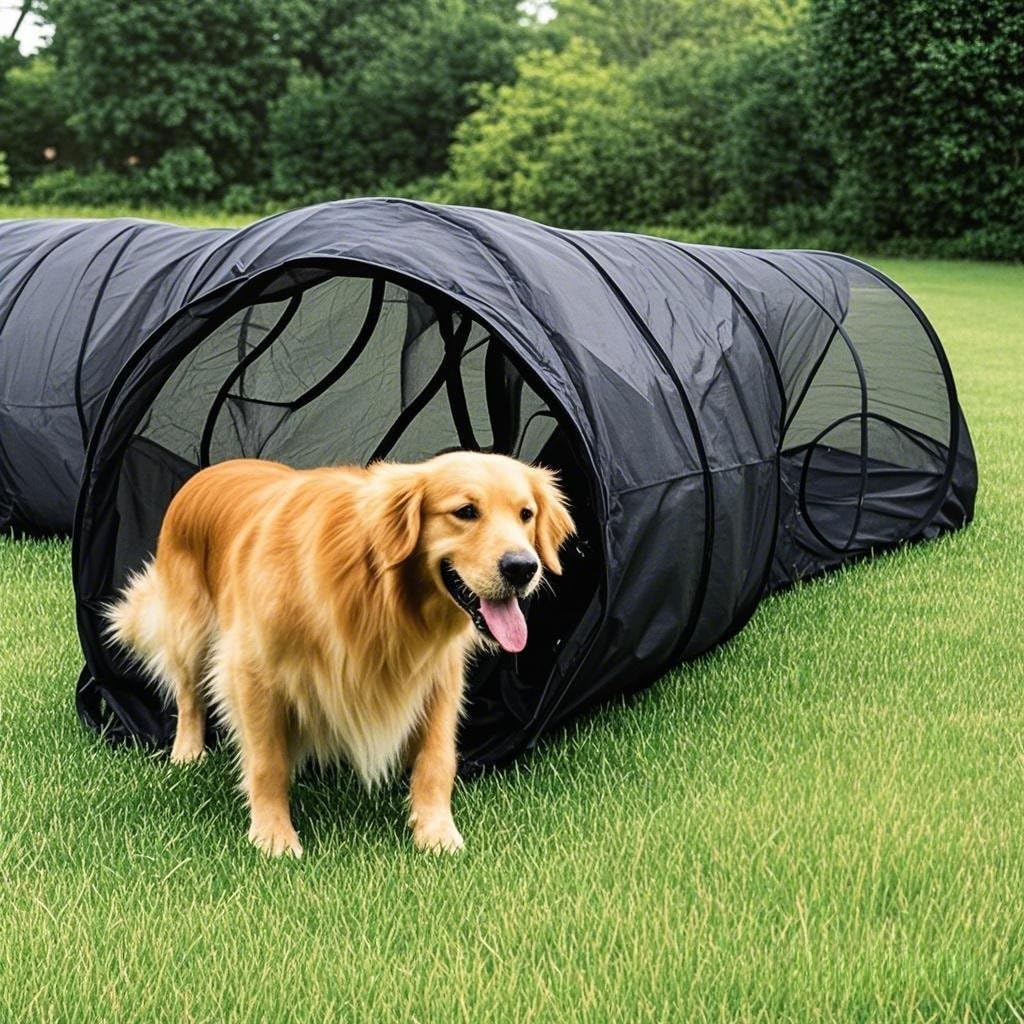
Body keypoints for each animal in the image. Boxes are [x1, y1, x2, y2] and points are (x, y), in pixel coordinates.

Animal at [106, 451, 575, 857]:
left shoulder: (440, 677)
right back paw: (187, 753)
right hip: (189, 631)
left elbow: (437, 760)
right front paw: (273, 836)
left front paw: (436, 832)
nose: (523, 568)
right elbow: (267, 762)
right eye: (465, 512)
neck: (377, 589)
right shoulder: (252, 670)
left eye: (526, 514)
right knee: (188, 695)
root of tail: (212, 469)